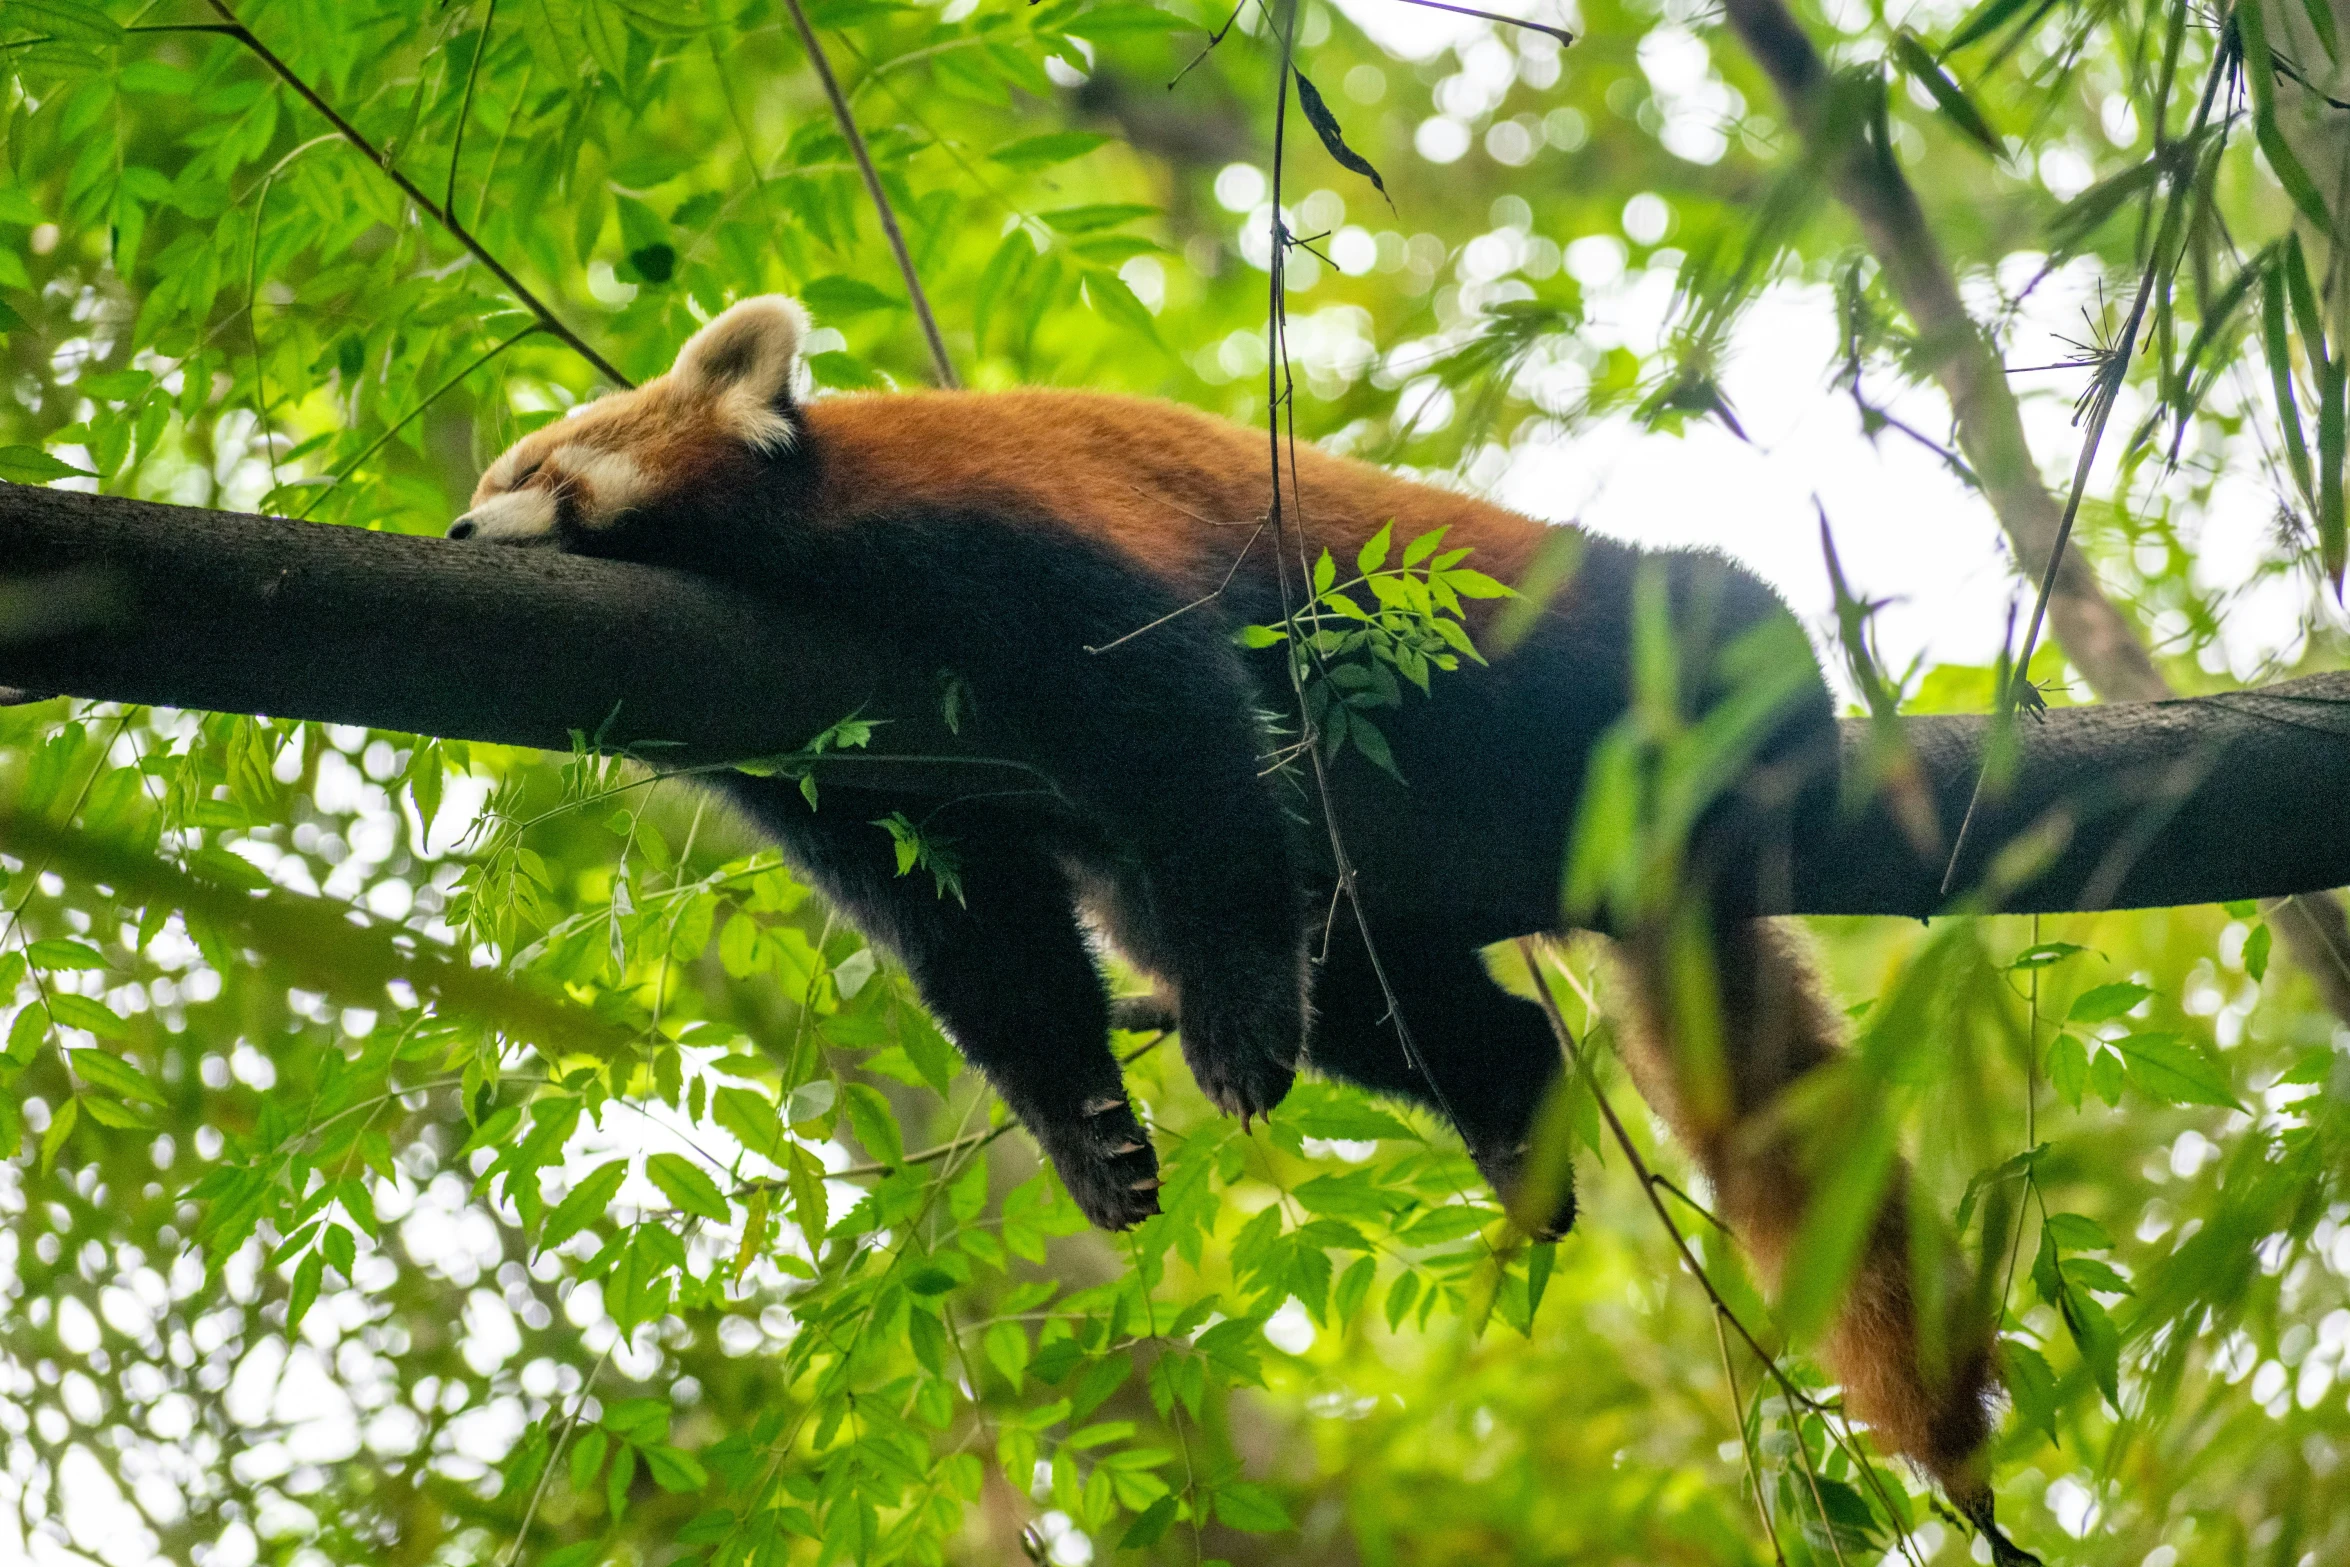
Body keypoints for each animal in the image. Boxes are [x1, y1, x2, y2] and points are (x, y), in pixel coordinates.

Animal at [458, 297, 2039, 1567]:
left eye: (530, 468)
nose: (462, 534)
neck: (775, 574)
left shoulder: (1002, 541)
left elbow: (1177, 735)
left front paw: (1225, 1037)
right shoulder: (841, 761)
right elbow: (990, 940)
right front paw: (1091, 1133)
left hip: (1508, 625)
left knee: (1668, 607)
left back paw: (1751, 686)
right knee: (1367, 981)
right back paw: (1510, 1097)